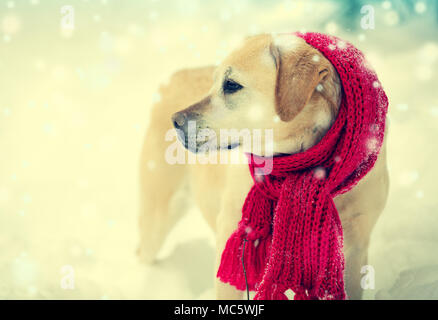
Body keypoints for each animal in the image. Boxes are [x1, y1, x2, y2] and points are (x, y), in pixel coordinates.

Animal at [138, 33, 390, 298]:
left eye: (231, 85)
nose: (176, 121)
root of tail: (175, 78)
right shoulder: (233, 237)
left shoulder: (356, 246)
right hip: (158, 211)